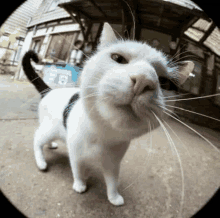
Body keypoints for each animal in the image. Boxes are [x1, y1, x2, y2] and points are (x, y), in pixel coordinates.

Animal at [22, 22, 194, 206]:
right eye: (118, 59)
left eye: (164, 82)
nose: (143, 80)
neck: (103, 135)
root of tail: (49, 90)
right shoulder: (76, 154)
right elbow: (78, 169)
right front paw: (80, 185)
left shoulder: (113, 163)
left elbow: (113, 181)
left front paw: (114, 197)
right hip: (50, 128)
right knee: (37, 138)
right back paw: (41, 162)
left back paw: (52, 145)